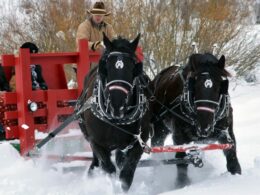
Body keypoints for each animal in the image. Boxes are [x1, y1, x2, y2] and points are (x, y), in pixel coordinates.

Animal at [75, 34, 150, 191]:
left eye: (133, 67)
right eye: (106, 67)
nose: (117, 103)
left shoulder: (140, 141)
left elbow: (126, 174)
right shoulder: (96, 142)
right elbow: (109, 169)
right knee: (98, 161)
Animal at [150, 53, 242, 189]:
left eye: (219, 87)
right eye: (195, 87)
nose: (204, 127)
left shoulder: (226, 132)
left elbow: (231, 155)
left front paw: (236, 174)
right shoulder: (180, 137)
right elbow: (181, 161)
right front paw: (182, 184)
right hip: (159, 128)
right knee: (157, 147)